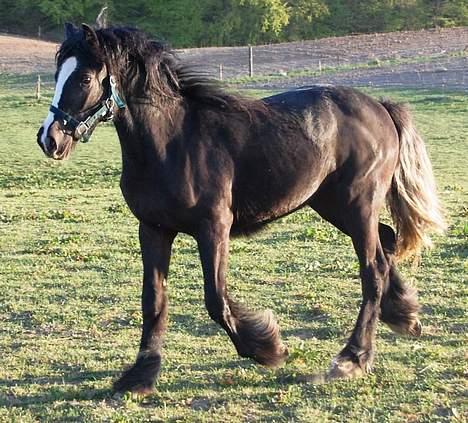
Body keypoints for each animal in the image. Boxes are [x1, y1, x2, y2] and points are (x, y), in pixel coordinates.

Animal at [37, 24, 446, 394]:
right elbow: (153, 301)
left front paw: (268, 348)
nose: (49, 139)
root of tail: (381, 107)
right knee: (387, 242)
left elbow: (216, 299)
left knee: (373, 268)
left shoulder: (213, 227)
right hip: (332, 205)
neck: (172, 143)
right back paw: (404, 315)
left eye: (84, 77)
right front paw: (140, 375)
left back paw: (352, 358)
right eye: (57, 75)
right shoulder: (153, 229)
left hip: (357, 204)